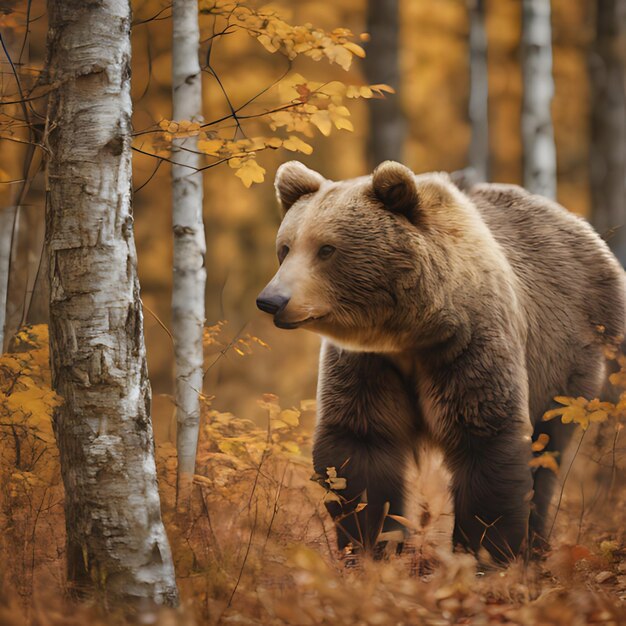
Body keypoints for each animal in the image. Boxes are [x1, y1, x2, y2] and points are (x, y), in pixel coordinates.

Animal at [255, 160, 624, 560]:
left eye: (326, 249)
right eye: (285, 247)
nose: (271, 300)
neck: (411, 331)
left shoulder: (468, 346)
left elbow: (486, 438)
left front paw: (485, 552)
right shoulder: (368, 361)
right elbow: (359, 445)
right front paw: (369, 546)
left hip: (570, 364)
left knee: (546, 452)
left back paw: (535, 545)